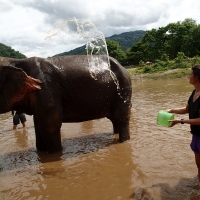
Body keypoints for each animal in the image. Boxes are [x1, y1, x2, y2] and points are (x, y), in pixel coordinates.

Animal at [0, 55, 131, 152]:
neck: (16, 61)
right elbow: (38, 126)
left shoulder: (45, 89)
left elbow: (49, 126)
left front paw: (55, 155)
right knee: (114, 120)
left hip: (123, 90)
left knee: (121, 119)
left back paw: (124, 141)